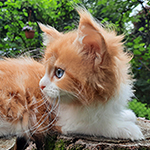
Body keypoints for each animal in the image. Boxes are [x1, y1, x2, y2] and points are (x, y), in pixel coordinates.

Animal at [39, 7, 145, 141]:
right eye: (46, 71)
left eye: (59, 73)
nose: (40, 85)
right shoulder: (63, 123)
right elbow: (97, 125)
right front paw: (125, 128)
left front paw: (126, 114)